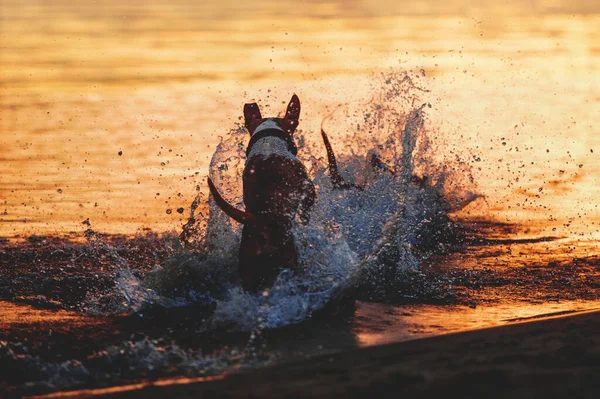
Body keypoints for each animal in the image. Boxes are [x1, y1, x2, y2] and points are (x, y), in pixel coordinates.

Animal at [209, 95, 316, 292]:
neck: (268, 140)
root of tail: (260, 221)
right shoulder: (307, 186)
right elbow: (307, 205)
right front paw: (305, 219)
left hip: (249, 273)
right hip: (289, 259)